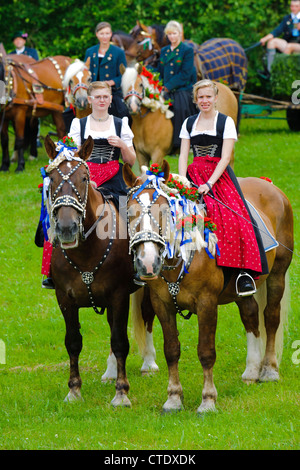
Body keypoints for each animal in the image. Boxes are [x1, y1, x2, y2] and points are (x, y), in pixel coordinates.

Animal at [43, 134, 137, 406]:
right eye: (52, 180)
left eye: (84, 178)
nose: (66, 228)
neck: (86, 251)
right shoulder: (64, 299)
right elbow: (73, 342)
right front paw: (74, 390)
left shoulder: (119, 295)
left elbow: (120, 341)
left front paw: (121, 393)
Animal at [123, 161, 294, 412]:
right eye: (129, 212)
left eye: (164, 211)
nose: (147, 262)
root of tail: (270, 186)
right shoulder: (162, 304)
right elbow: (171, 350)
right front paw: (173, 399)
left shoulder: (207, 304)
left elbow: (206, 352)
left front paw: (208, 401)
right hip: (243, 290)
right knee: (251, 317)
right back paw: (251, 371)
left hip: (277, 275)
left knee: (270, 317)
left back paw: (269, 371)